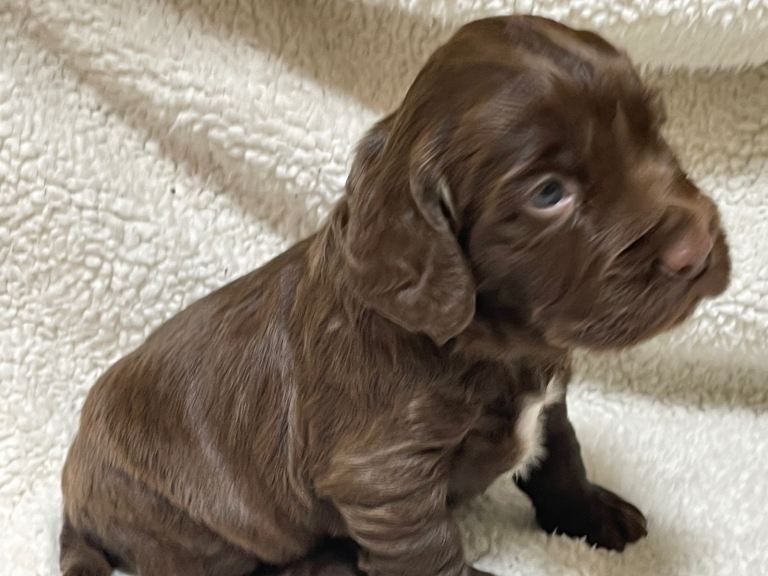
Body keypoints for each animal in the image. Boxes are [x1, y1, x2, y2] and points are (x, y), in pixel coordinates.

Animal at [60, 15, 731, 576]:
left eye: (656, 129)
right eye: (547, 193)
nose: (696, 247)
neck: (494, 344)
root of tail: (73, 501)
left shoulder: (549, 394)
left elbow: (561, 455)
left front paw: (592, 512)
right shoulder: (384, 478)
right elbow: (429, 552)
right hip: (178, 519)